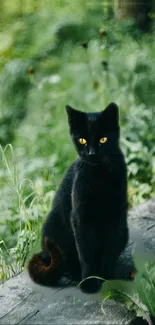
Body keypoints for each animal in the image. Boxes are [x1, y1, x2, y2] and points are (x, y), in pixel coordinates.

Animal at [27, 102, 128, 292]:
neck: (99, 177)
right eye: (82, 140)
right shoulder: (80, 218)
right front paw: (89, 282)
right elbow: (85, 253)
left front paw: (107, 279)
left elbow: (109, 251)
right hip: (52, 227)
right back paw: (74, 274)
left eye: (103, 139)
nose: (92, 153)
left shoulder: (115, 216)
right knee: (62, 262)